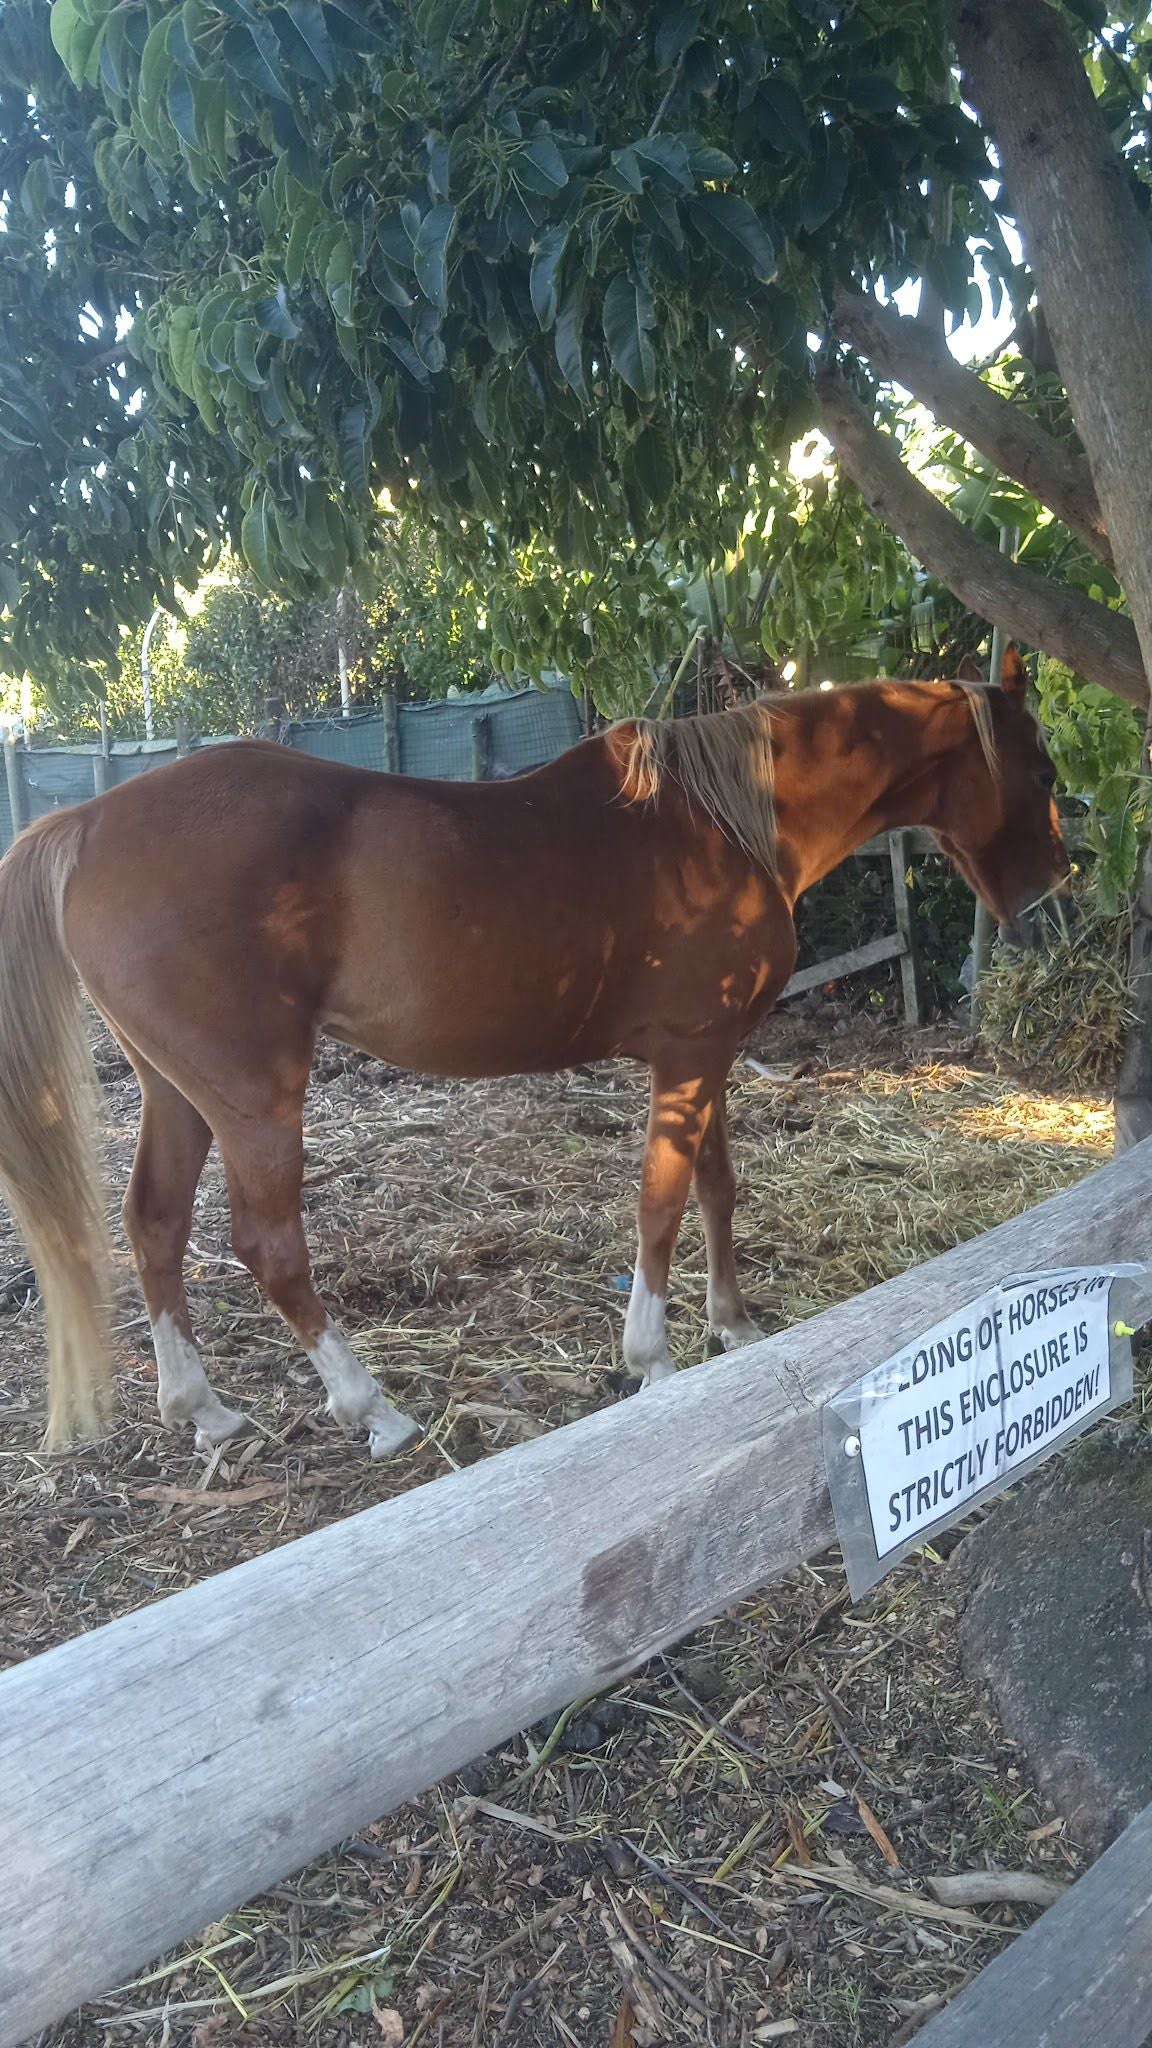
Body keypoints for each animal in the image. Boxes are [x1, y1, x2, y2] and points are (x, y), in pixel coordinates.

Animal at [0, 647, 1065, 1449]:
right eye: (1046, 772)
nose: (1055, 886)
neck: (725, 825)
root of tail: (86, 821)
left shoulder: (709, 1053)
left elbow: (716, 1190)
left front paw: (733, 1322)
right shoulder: (687, 1058)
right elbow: (660, 1204)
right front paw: (652, 1359)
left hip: (178, 1092)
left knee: (153, 1225)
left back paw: (205, 1410)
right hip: (256, 1099)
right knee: (268, 1246)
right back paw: (370, 1407)